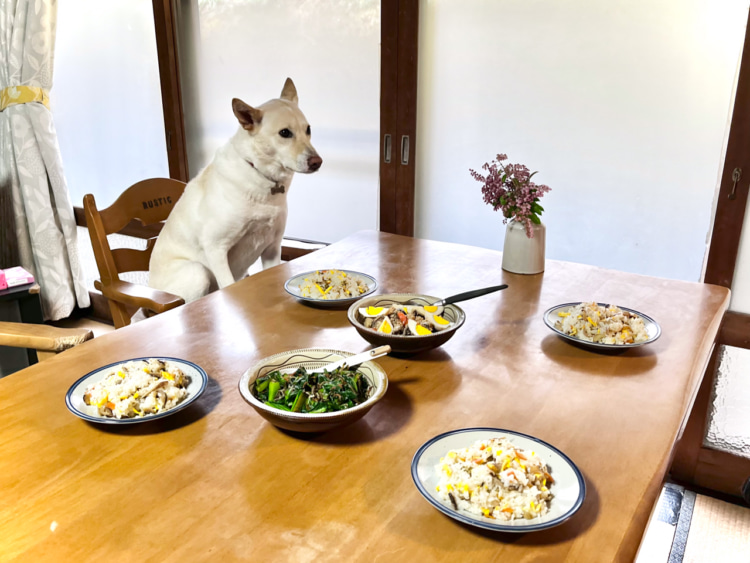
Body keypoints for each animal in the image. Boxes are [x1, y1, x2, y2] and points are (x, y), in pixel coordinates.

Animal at [148, 78, 322, 304]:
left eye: (308, 129)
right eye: (285, 133)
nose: (317, 162)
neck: (258, 172)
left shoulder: (272, 247)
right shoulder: (216, 248)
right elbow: (228, 285)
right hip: (197, 273)